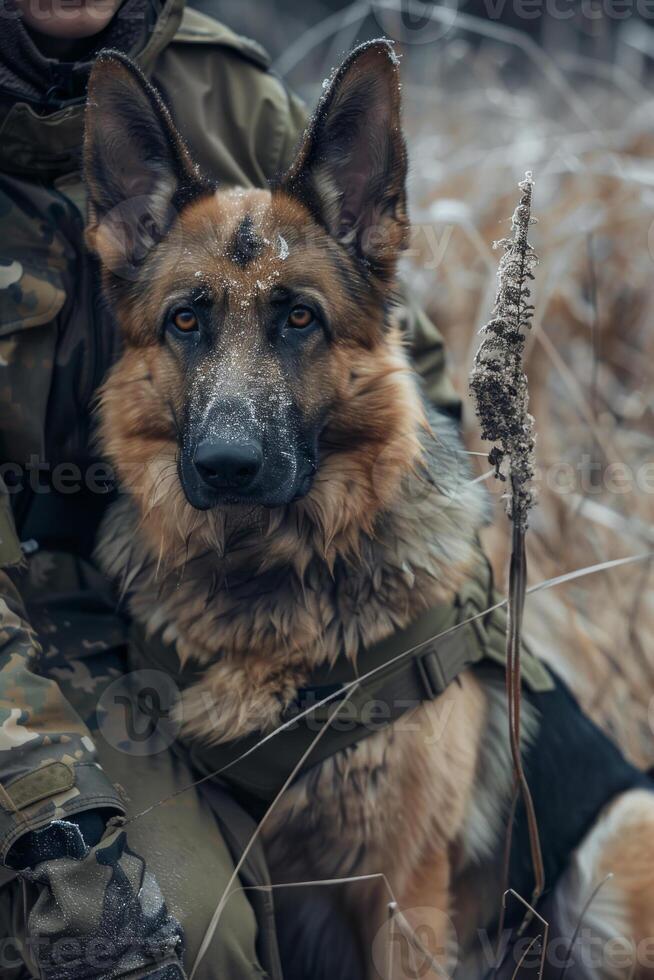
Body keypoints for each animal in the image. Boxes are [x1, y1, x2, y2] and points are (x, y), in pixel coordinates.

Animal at [84, 40, 654, 980]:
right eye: (186, 321)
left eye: (299, 318)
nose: (227, 468)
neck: (267, 581)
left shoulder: (403, 899)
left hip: (615, 851)